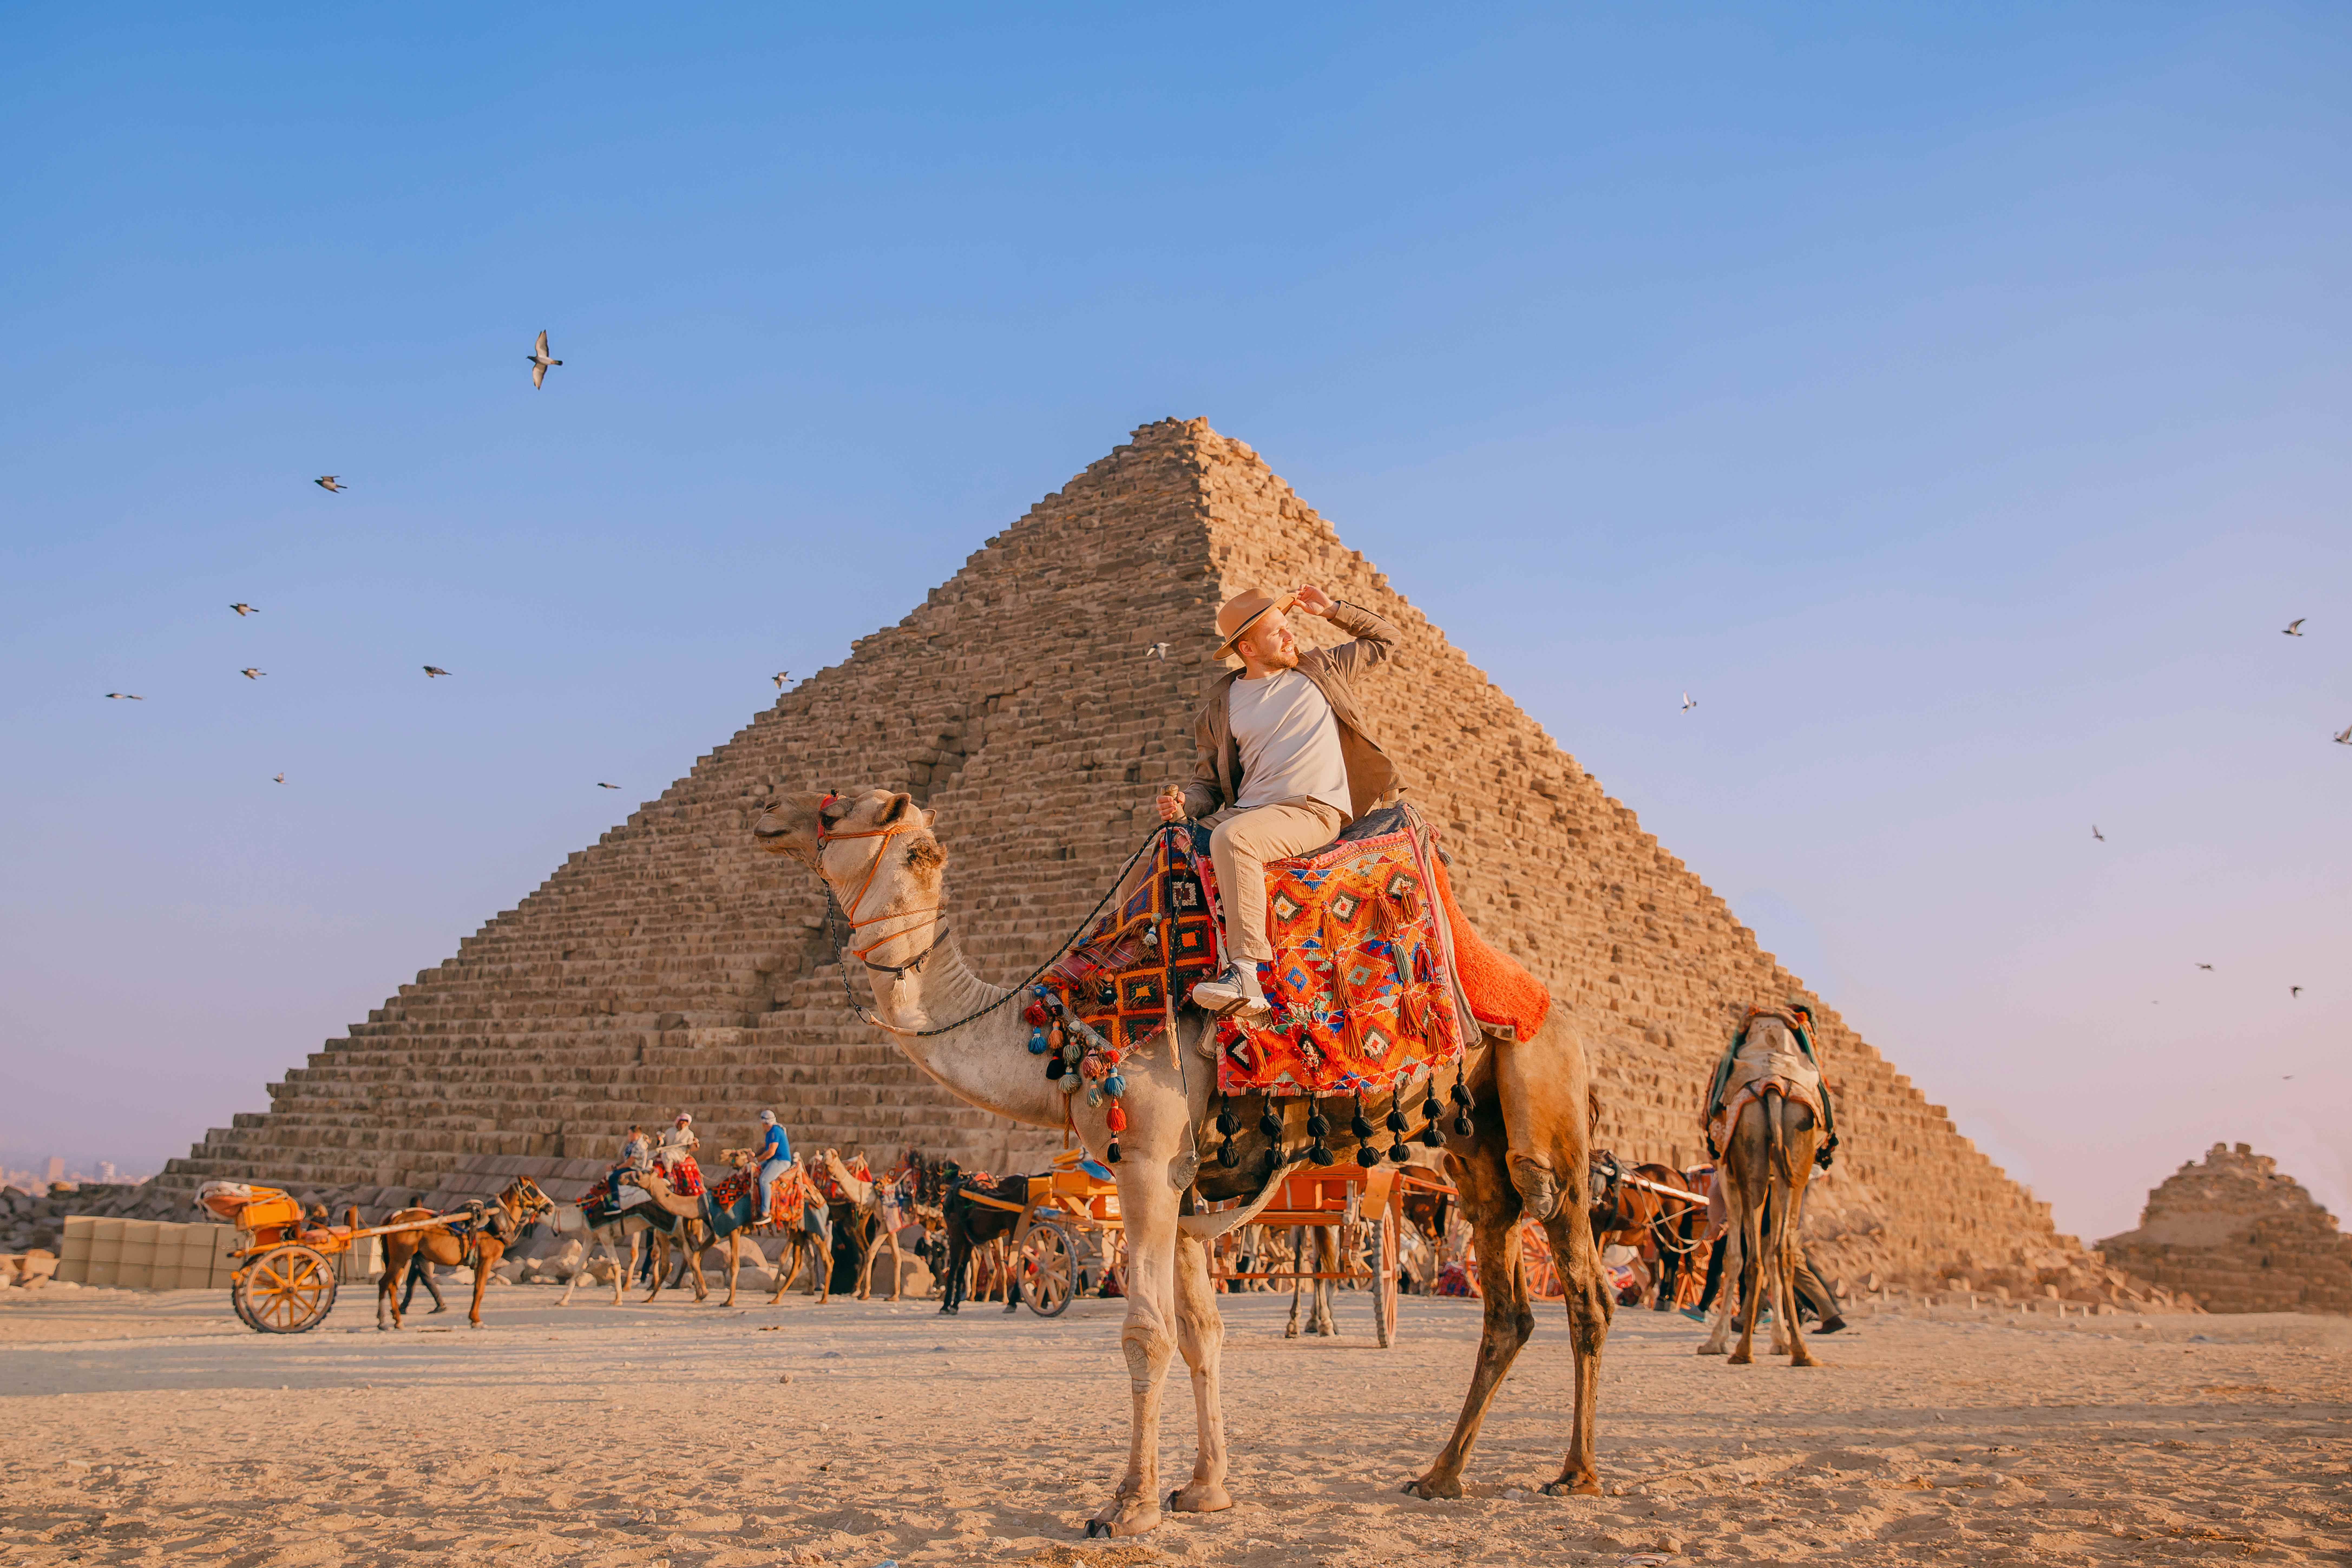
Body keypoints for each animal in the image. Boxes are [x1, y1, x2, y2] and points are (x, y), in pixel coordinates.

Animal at [376, 1177, 555, 1329]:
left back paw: (398, 1320)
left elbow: (477, 1289)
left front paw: (473, 1318)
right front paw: (476, 1319)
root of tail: (395, 1219)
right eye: (533, 1189)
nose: (551, 1205)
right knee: (385, 1284)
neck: (494, 1222)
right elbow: (480, 1290)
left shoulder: (478, 1263)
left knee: (392, 1286)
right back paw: (383, 1321)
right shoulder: (485, 1261)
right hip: (400, 1258)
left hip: (400, 1259)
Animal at [754, 787, 1612, 1535]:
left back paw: (1576, 1473)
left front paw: (1126, 1504)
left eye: (837, 808)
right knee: (1507, 1310)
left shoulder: (1145, 1161)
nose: (766, 810)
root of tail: (1565, 1019)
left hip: (1549, 1126)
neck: (1058, 1027)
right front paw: (1205, 1489)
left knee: (1583, 1290)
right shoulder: (1191, 1185)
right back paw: (1441, 1474)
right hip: (1476, 1156)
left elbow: (1147, 1334)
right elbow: (1203, 1331)